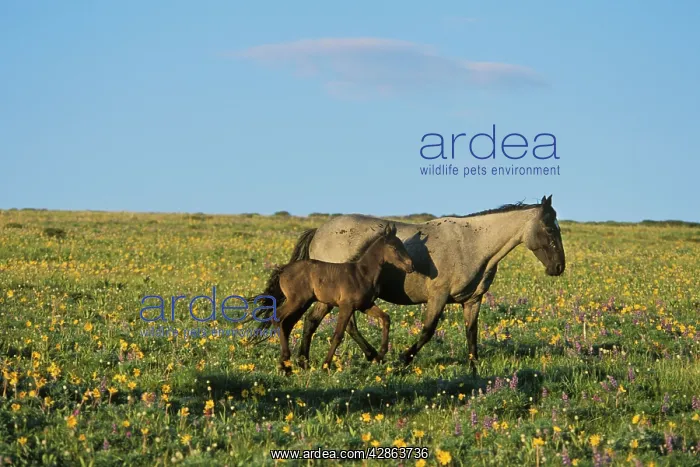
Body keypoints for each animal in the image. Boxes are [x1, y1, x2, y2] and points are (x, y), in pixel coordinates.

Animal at [252, 223, 415, 373]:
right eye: (394, 247)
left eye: (402, 245)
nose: (411, 266)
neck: (362, 273)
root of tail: (283, 269)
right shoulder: (346, 306)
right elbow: (338, 335)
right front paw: (326, 365)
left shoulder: (365, 305)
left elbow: (385, 318)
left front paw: (380, 355)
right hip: (297, 301)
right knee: (278, 317)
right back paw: (286, 361)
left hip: (303, 302)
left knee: (287, 323)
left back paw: (287, 364)